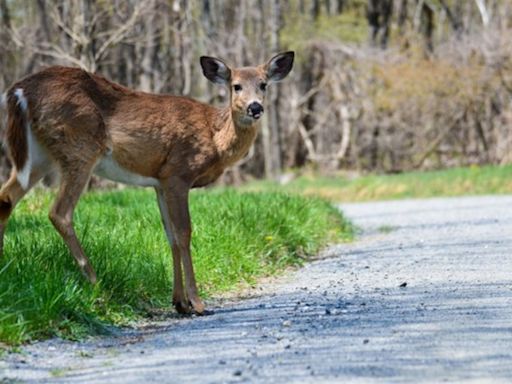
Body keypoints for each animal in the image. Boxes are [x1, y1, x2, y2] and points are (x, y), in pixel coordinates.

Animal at [0, 51, 294, 316]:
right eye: (236, 86)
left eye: (264, 84)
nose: (255, 107)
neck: (215, 137)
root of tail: (18, 91)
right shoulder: (178, 173)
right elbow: (184, 233)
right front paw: (197, 303)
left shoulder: (160, 182)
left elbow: (171, 236)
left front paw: (180, 302)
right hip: (79, 147)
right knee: (59, 212)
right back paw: (97, 284)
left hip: (39, 154)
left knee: (7, 198)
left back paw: (5, 270)